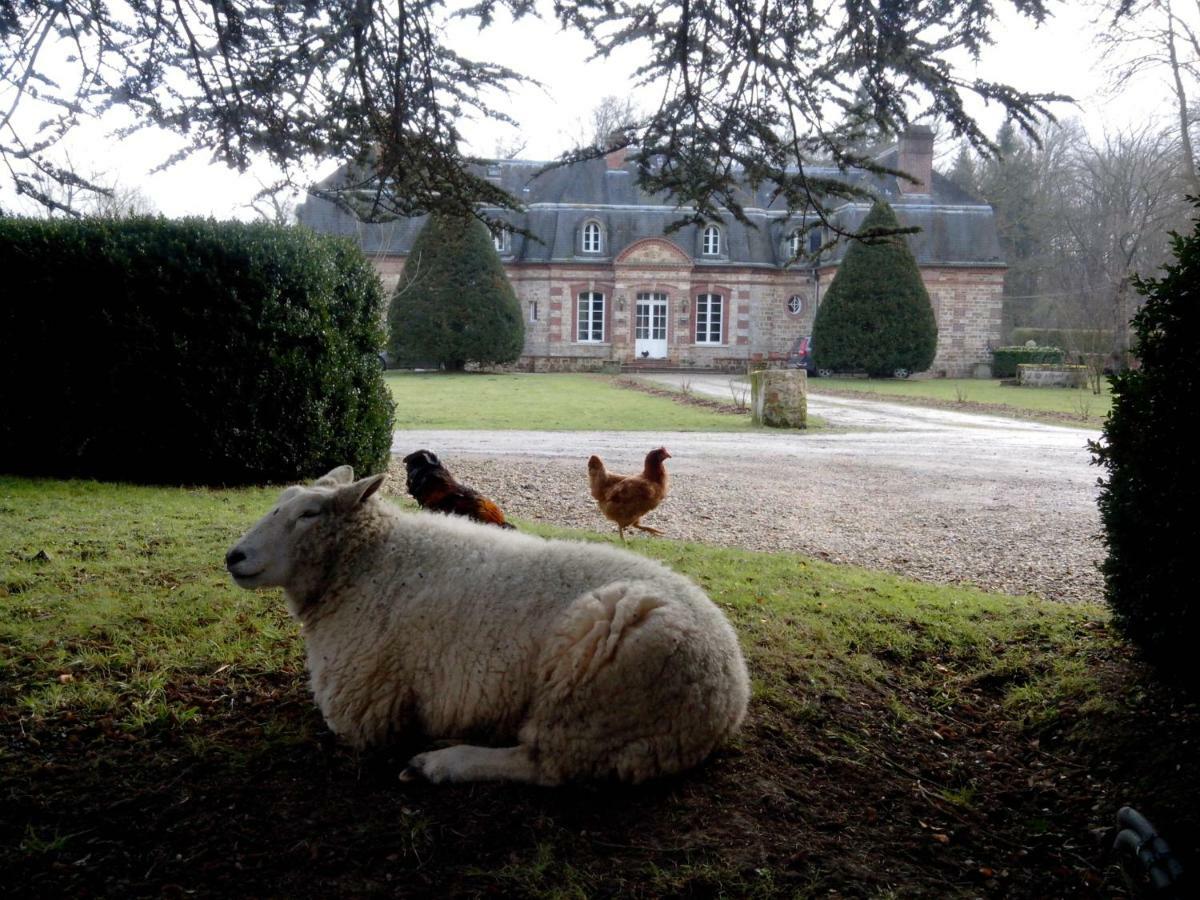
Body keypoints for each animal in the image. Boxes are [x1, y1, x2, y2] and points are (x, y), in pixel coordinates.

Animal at [225, 468, 744, 787]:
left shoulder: (363, 708)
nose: (234, 556)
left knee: (545, 765)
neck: (371, 560)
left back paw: (441, 762)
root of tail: (732, 692)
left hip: (593, 696)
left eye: (309, 514)